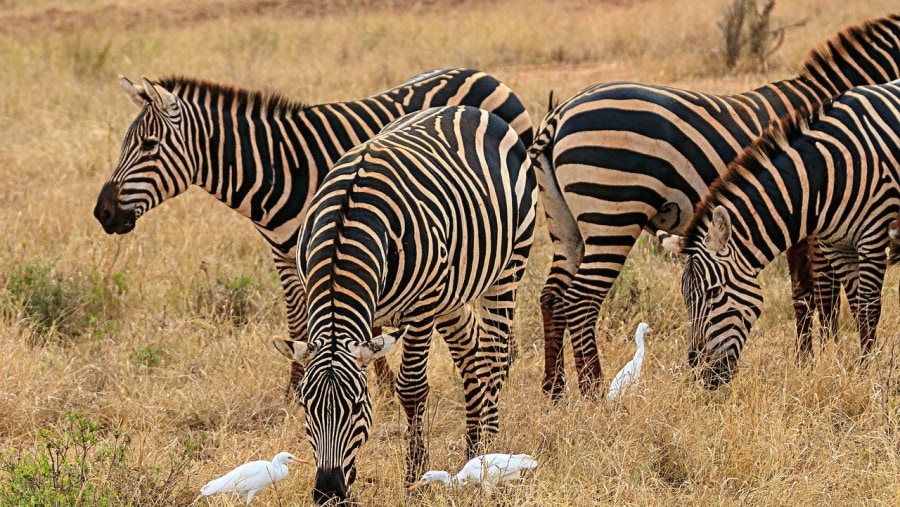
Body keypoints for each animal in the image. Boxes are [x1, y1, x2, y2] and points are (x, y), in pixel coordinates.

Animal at [93, 69, 536, 396]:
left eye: (149, 146)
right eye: (127, 144)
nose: (103, 213)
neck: (281, 169)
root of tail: (485, 75)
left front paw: (381, 386)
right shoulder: (287, 257)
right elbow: (297, 324)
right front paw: (293, 390)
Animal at [278, 105, 536, 502]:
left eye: (357, 405)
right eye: (306, 406)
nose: (329, 492)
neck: (345, 228)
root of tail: (468, 109)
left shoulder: (422, 307)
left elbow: (412, 389)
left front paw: (414, 479)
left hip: (509, 265)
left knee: (493, 356)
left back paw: (489, 449)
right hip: (453, 291)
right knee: (471, 352)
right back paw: (473, 448)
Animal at [652, 81, 900, 386]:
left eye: (713, 292)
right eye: (686, 297)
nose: (701, 375)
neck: (822, 174)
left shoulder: (872, 236)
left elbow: (867, 309)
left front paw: (866, 374)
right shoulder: (835, 245)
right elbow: (854, 306)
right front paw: (856, 371)